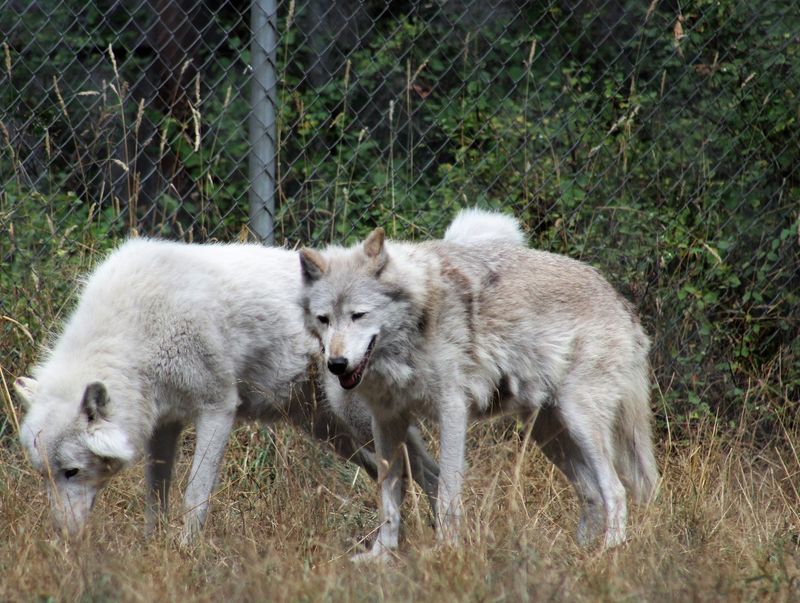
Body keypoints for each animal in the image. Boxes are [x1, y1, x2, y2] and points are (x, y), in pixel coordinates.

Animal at [14, 239, 440, 542]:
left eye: (72, 472)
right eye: (44, 475)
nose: (63, 536)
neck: (135, 333)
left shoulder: (217, 409)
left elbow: (193, 497)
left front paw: (186, 554)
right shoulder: (163, 426)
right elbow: (155, 499)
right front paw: (153, 549)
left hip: (358, 423)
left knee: (426, 470)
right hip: (336, 435)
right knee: (410, 473)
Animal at [299, 209, 659, 560]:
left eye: (359, 315)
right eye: (324, 319)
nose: (336, 364)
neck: (414, 328)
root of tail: (620, 301)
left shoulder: (452, 410)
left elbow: (446, 492)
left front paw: (446, 551)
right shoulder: (387, 420)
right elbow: (388, 498)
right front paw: (382, 557)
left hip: (579, 422)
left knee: (616, 490)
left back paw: (608, 553)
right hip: (550, 434)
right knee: (592, 493)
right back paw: (575, 554)